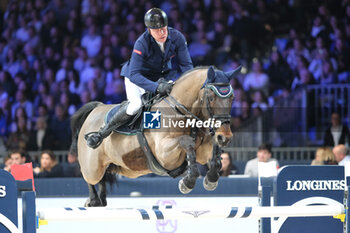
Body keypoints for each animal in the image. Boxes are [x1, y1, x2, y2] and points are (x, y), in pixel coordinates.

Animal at [70, 65, 242, 206]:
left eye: (233, 98)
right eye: (211, 98)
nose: (225, 137)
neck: (181, 111)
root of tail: (96, 109)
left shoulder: (202, 151)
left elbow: (211, 154)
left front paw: (211, 178)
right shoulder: (165, 155)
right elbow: (186, 142)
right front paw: (187, 182)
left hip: (123, 167)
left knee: (104, 178)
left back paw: (100, 200)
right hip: (92, 167)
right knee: (91, 178)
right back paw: (93, 199)